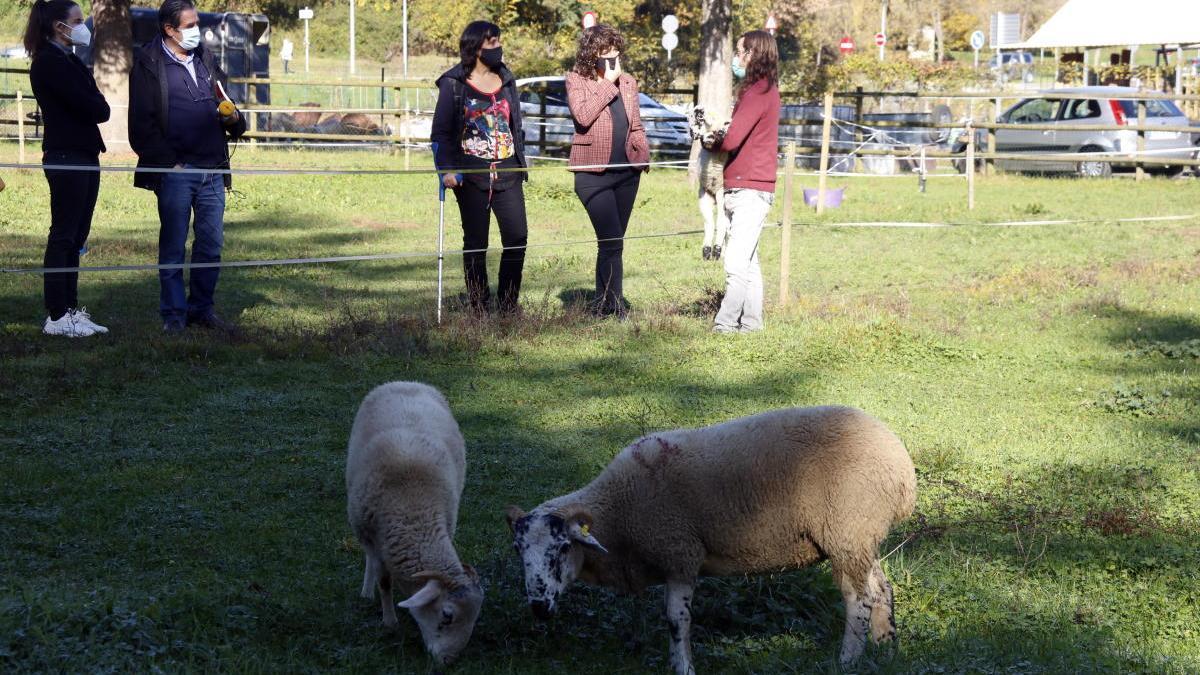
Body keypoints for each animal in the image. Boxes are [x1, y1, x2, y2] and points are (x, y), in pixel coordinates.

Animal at [345, 381, 480, 662]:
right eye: (447, 615)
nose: (448, 661)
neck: (412, 512)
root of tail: (405, 382)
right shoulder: (373, 534)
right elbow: (384, 581)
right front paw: (390, 622)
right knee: (368, 559)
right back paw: (366, 591)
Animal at [506, 401, 916, 667]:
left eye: (562, 548)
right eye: (518, 550)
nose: (538, 607)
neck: (618, 510)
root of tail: (901, 466)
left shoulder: (680, 554)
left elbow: (676, 620)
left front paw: (683, 667)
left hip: (847, 530)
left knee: (858, 601)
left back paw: (848, 661)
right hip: (860, 536)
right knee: (881, 590)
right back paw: (887, 651)